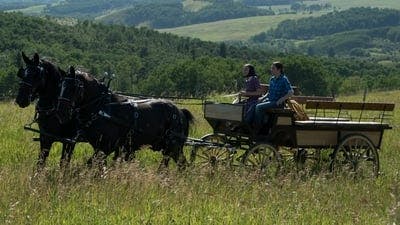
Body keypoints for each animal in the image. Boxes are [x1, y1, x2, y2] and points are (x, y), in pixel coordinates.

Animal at [56, 66, 194, 169]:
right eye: (61, 85)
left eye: (74, 88)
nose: (61, 112)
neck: (102, 107)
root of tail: (180, 112)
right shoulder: (99, 147)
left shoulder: (107, 147)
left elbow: (91, 163)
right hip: (169, 149)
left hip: (174, 147)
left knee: (183, 166)